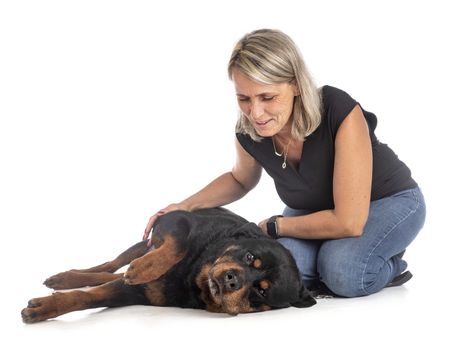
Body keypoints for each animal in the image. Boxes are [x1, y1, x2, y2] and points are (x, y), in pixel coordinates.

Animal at [21, 206, 314, 324]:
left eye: (261, 291)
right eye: (250, 257)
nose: (232, 279)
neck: (193, 277)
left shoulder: (135, 293)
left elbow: (91, 296)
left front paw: (45, 307)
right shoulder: (175, 219)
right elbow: (179, 243)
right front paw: (145, 268)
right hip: (144, 241)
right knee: (111, 264)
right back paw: (65, 277)